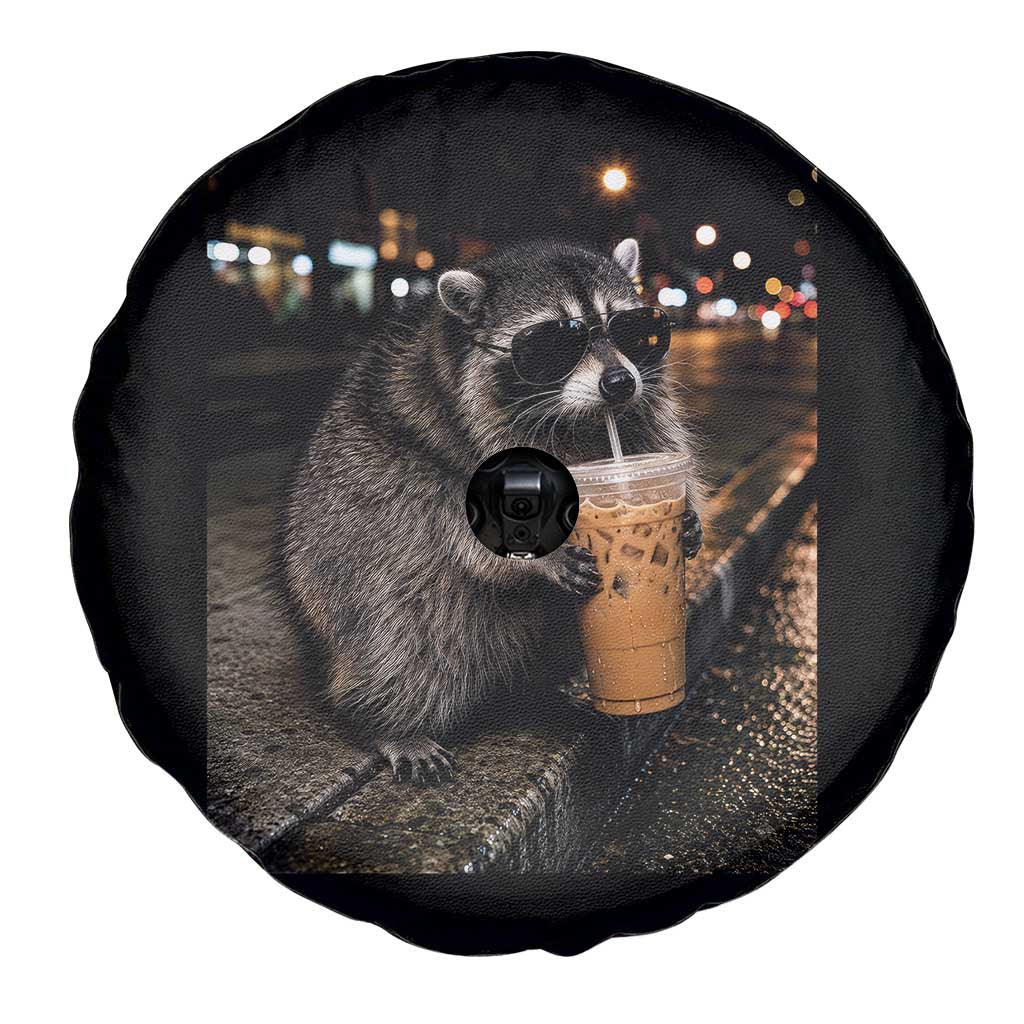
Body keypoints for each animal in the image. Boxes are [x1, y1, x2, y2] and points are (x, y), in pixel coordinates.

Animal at [283, 238, 703, 782]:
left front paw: (688, 518)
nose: (618, 383)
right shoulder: (435, 434)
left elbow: (656, 441)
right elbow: (445, 513)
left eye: (632, 330)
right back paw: (390, 719)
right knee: (408, 616)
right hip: (341, 574)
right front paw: (539, 554)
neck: (578, 421)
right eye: (553, 342)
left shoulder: (636, 417)